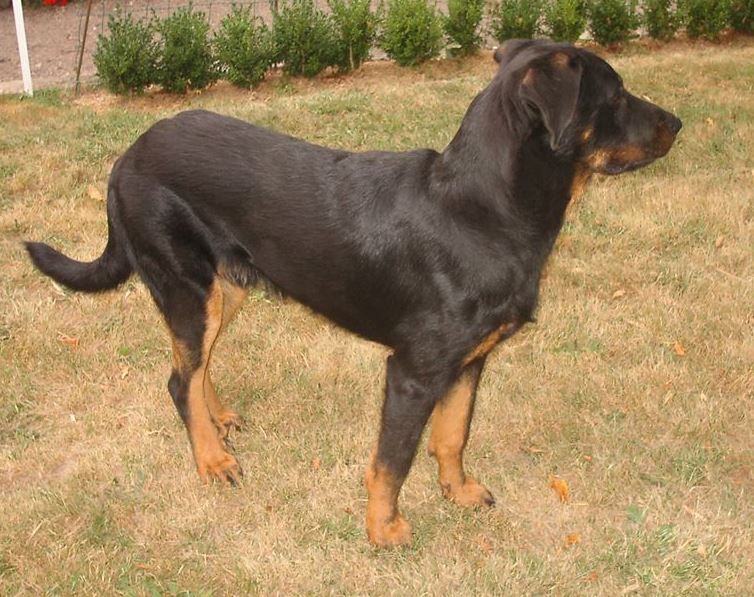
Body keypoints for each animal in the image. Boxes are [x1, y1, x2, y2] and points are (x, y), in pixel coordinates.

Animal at [25, 39, 681, 547]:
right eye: (615, 96)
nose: (677, 124)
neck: (485, 211)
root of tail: (124, 159)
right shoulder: (413, 372)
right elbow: (392, 461)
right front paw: (383, 531)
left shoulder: (470, 361)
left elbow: (452, 435)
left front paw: (460, 493)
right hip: (186, 283)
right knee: (177, 378)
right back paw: (212, 461)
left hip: (223, 286)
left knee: (193, 367)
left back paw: (218, 421)